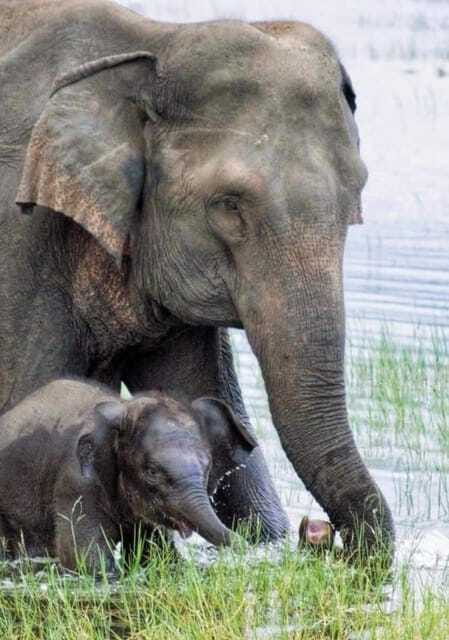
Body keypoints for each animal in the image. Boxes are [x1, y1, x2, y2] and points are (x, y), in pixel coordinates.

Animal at [0, 378, 258, 570]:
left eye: (208, 468)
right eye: (151, 471)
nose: (246, 544)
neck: (125, 406)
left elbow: (156, 556)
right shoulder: (74, 482)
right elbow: (84, 560)